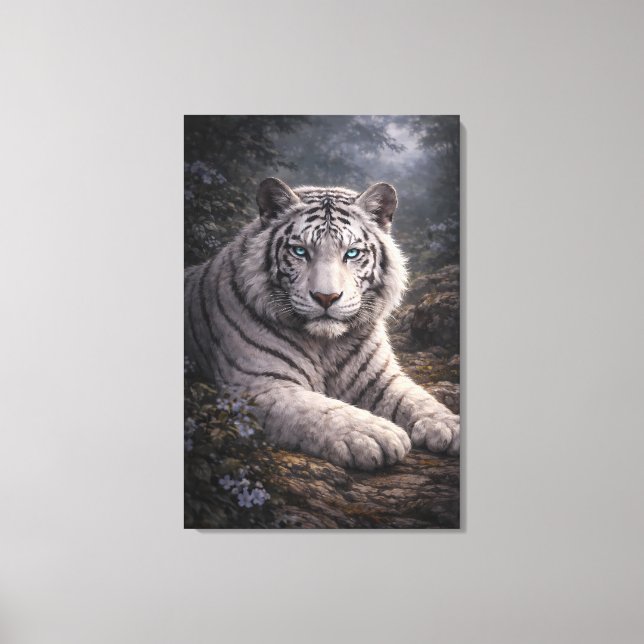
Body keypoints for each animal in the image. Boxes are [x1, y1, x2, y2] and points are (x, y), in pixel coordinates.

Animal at [184, 177, 460, 470]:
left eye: (352, 253)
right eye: (299, 251)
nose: (326, 297)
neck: (326, 344)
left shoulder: (380, 378)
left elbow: (415, 397)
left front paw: (449, 425)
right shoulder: (259, 385)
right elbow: (320, 409)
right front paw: (374, 434)